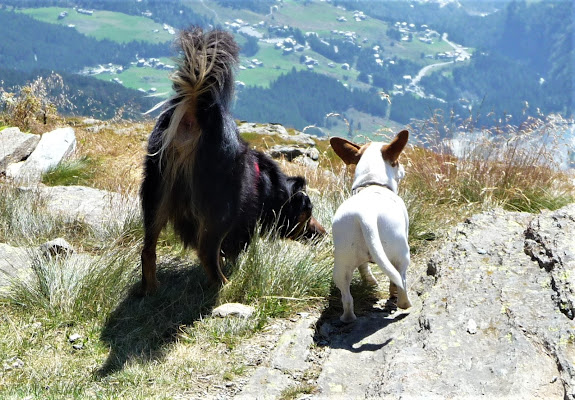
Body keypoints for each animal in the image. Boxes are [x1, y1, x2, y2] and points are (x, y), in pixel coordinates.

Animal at [141, 27, 324, 294]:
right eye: (307, 214)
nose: (323, 233)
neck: (271, 188)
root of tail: (198, 114)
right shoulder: (243, 224)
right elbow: (231, 250)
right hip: (221, 206)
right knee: (206, 251)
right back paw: (225, 285)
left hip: (156, 192)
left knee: (148, 248)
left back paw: (152, 289)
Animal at [330, 130, 412, 324]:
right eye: (397, 161)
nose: (404, 170)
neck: (371, 183)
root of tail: (365, 215)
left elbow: (364, 267)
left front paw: (370, 281)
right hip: (401, 254)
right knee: (400, 280)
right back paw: (404, 303)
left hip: (342, 263)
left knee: (347, 297)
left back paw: (348, 317)